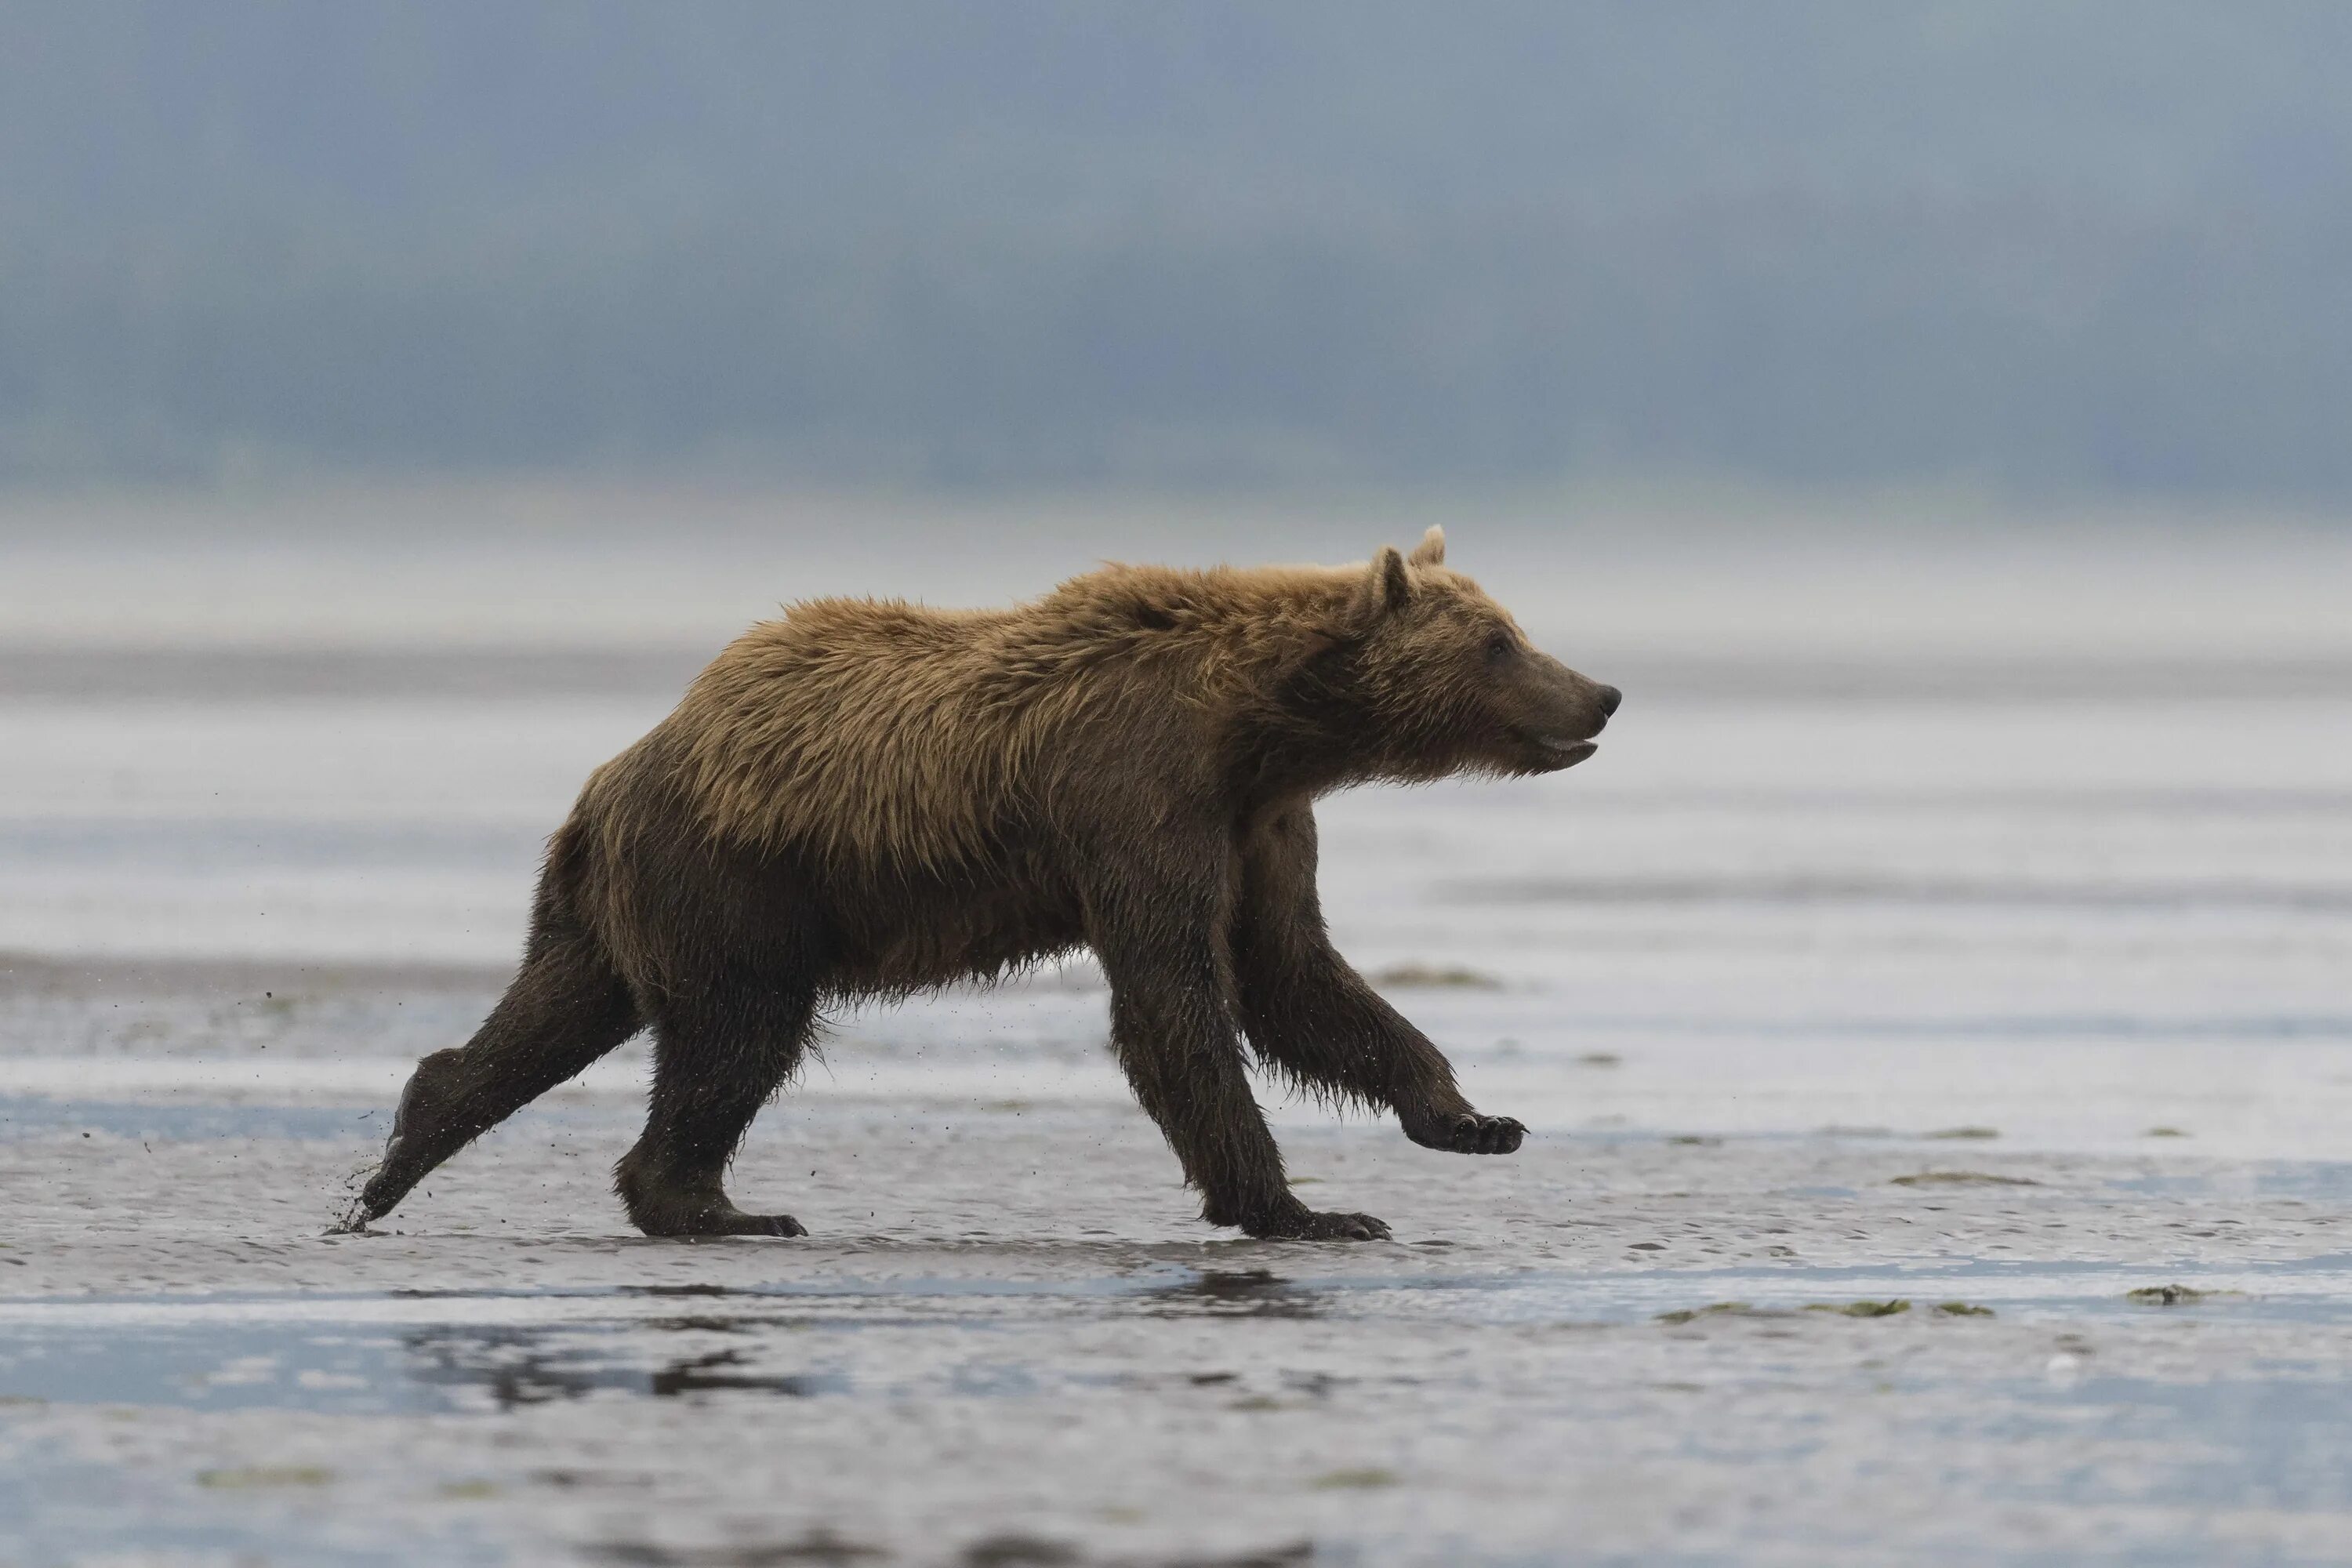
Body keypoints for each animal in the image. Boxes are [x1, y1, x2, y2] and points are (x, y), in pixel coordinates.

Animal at [353, 533, 1618, 1241]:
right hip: (736, 877)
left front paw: (1472, 1119)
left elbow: (1296, 974)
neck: (1257, 729)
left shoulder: (1259, 826)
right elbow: (1176, 1001)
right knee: (738, 1033)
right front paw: (1308, 1208)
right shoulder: (1136, 797)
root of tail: (614, 774)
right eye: (1500, 641)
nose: (1601, 690)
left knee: (557, 1009)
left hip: (626, 902)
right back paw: (723, 1206)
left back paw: (402, 1153)